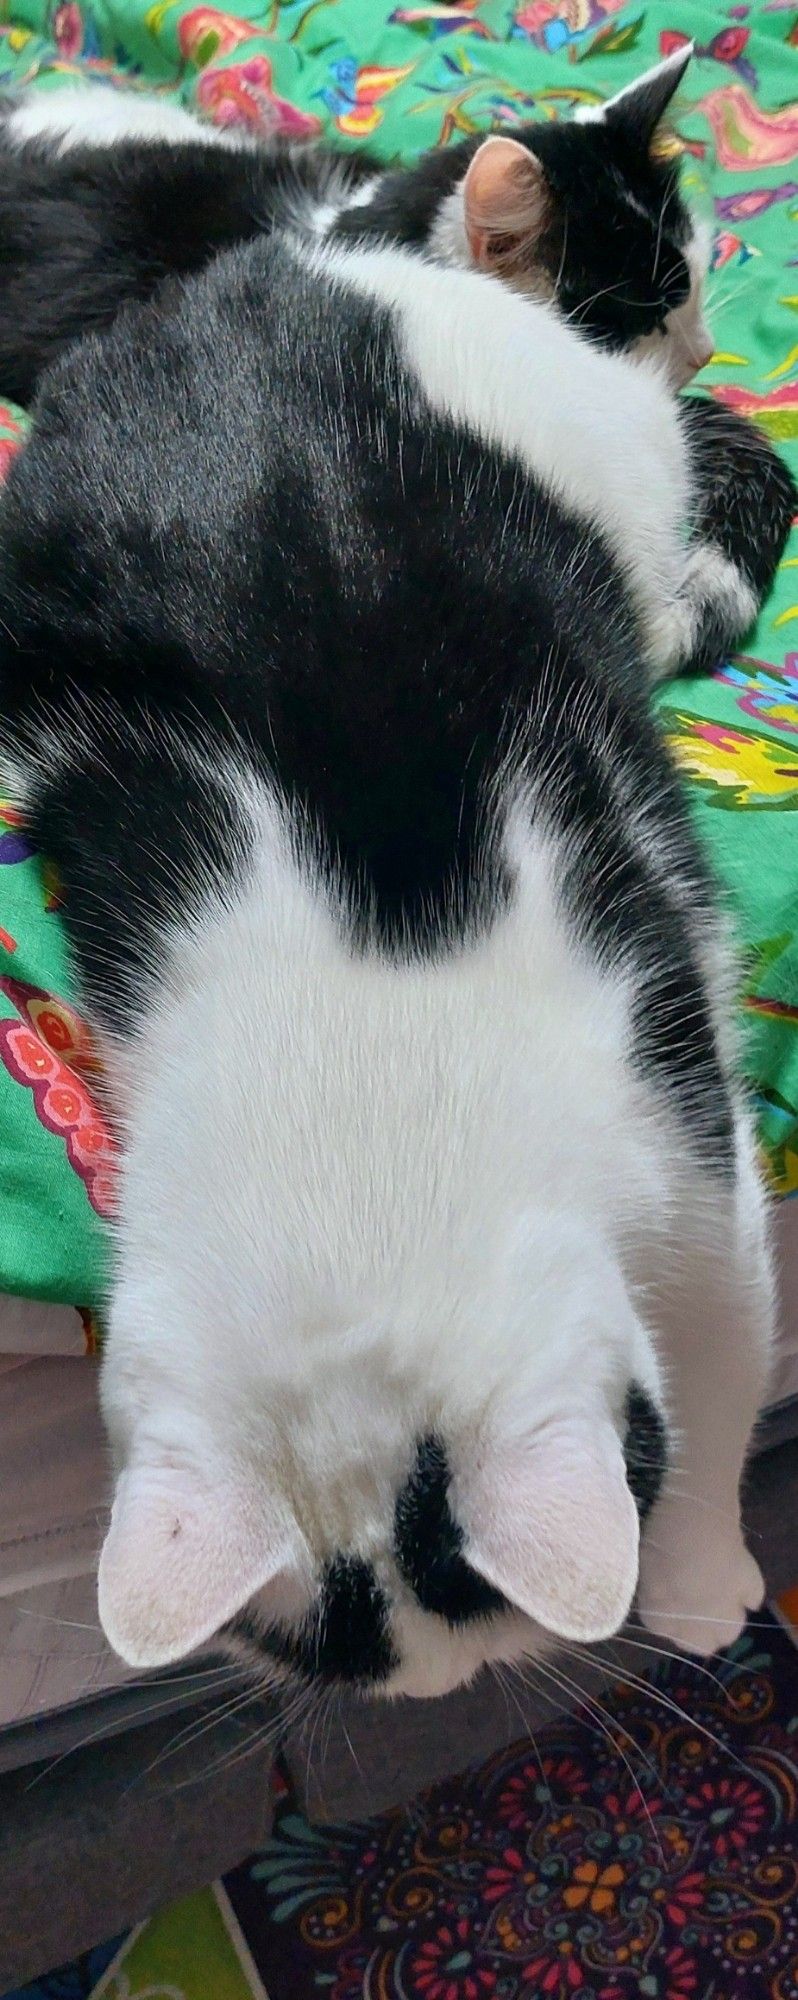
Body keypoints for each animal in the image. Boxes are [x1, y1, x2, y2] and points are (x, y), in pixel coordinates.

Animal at [0, 58, 792, 1688]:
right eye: (342, 1670)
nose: (460, 1689)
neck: (366, 1045)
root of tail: (309, 256)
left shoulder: (678, 1091)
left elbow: (725, 1331)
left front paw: (696, 1577)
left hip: (614, 450)